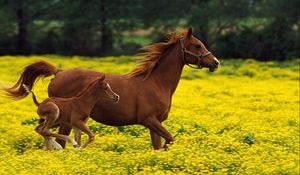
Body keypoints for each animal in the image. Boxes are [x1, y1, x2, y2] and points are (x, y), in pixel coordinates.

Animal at [4, 28, 218, 150]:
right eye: (197, 45)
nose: (215, 62)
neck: (157, 83)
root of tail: (59, 72)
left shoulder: (155, 124)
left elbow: (158, 146)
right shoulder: (149, 120)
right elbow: (170, 140)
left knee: (45, 133)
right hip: (64, 119)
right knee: (55, 137)